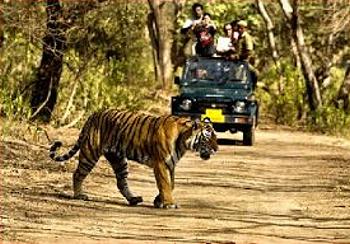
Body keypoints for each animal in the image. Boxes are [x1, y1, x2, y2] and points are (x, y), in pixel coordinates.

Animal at [49, 109, 217, 209]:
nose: (217, 149)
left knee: (121, 182)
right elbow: (165, 184)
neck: (183, 141)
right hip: (90, 153)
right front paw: (169, 203)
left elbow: (171, 184)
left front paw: (159, 200)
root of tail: (93, 114)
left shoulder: (171, 165)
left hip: (118, 160)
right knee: (77, 174)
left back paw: (134, 199)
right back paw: (79, 195)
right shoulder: (161, 163)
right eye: (208, 138)